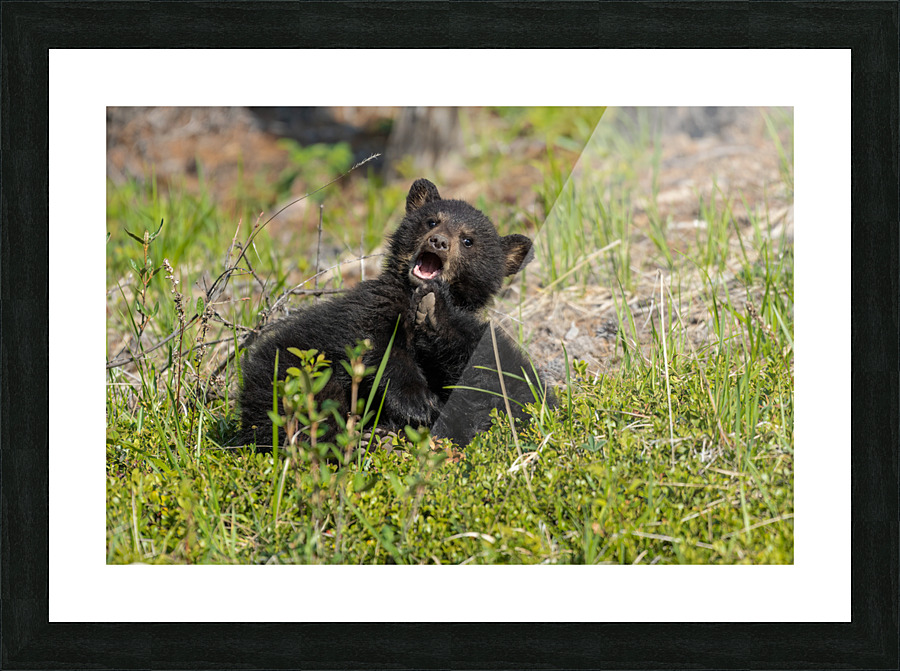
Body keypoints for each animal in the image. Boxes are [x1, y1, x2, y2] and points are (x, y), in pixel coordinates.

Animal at [236, 178, 553, 450]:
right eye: (432, 220)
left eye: (468, 240)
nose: (438, 241)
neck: (411, 297)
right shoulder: (374, 306)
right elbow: (379, 348)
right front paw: (418, 403)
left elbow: (478, 361)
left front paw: (435, 314)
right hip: (290, 369)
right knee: (305, 405)